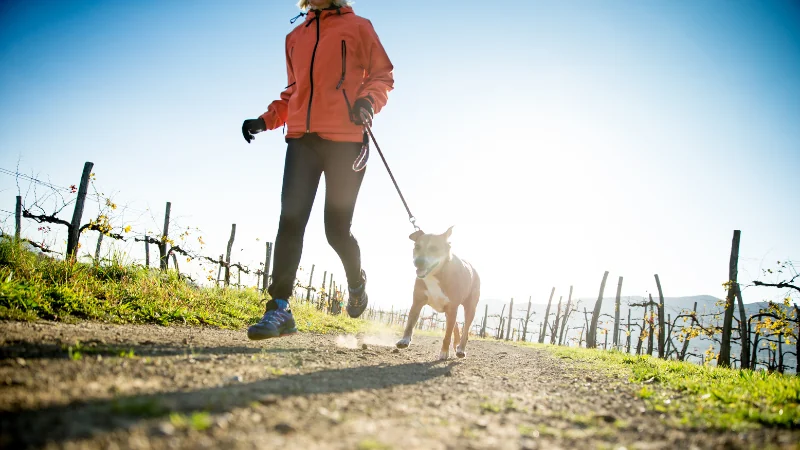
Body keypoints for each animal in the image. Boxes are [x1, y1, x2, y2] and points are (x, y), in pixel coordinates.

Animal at [396, 227, 478, 360]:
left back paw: (460, 349)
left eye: (434, 248)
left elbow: (447, 334)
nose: (418, 262)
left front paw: (444, 352)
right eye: (417, 246)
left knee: (465, 329)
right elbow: (410, 323)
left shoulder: (452, 307)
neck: (435, 274)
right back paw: (456, 344)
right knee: (455, 326)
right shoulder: (417, 302)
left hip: (470, 307)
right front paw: (404, 340)